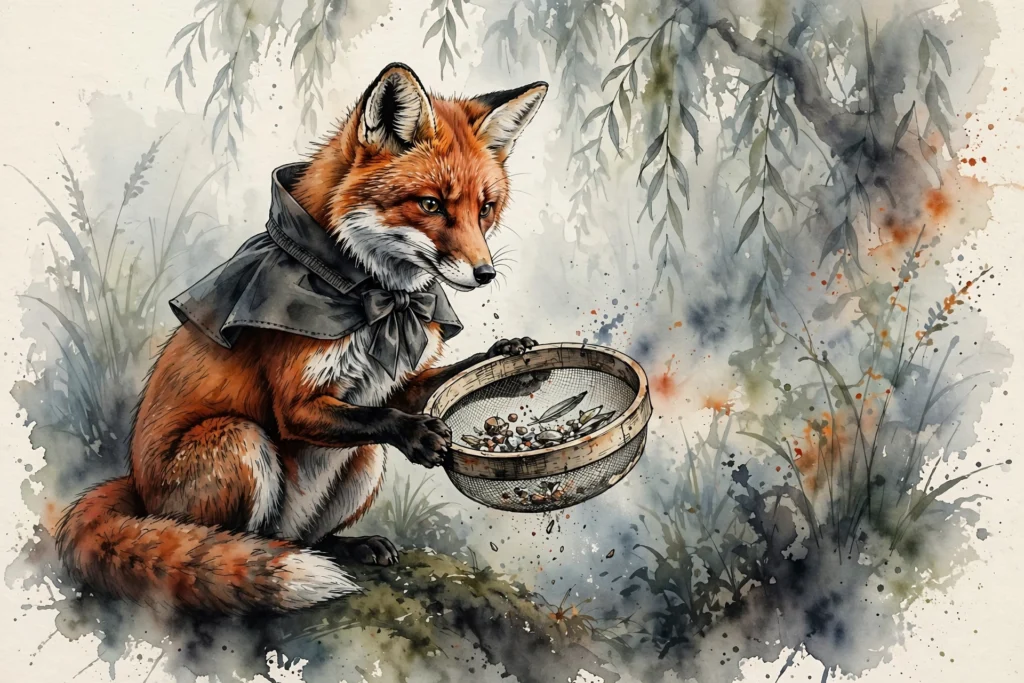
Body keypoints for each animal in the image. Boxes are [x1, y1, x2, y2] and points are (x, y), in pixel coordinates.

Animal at [54, 63, 548, 614]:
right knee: (230, 545)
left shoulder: (394, 381)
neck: (375, 300)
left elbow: (435, 382)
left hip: (364, 462)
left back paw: (349, 546)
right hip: (241, 442)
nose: (485, 274)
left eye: (485, 209)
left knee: (309, 538)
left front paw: (507, 359)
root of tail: (137, 491)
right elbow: (378, 417)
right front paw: (417, 433)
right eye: (430, 205)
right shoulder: (296, 402)